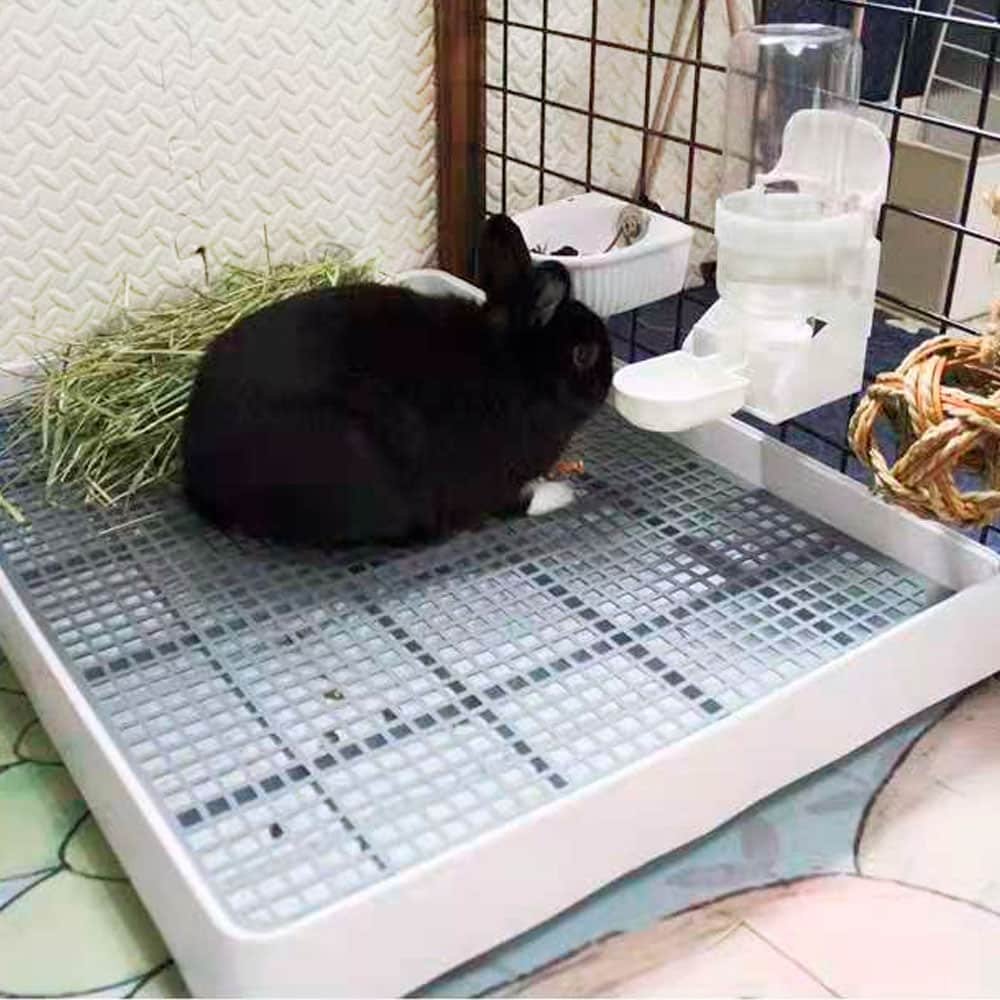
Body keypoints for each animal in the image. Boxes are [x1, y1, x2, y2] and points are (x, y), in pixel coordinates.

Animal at [180, 214, 612, 547]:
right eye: (584, 354)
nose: (607, 380)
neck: (517, 369)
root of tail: (202, 480)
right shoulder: (490, 475)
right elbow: (511, 504)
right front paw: (561, 494)